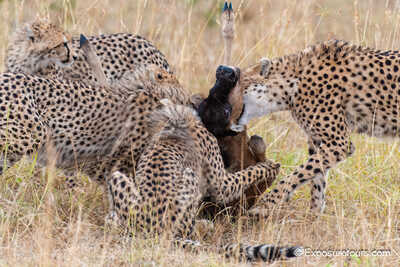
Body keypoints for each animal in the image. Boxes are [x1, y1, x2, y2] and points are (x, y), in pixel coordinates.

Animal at [106, 101, 300, 262]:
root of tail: (151, 229)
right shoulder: (220, 183)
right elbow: (244, 175)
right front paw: (269, 166)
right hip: (189, 179)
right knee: (188, 230)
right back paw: (203, 225)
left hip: (117, 177)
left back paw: (113, 219)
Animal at [227, 39, 400, 215]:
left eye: (236, 85)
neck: (291, 84)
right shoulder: (319, 142)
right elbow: (316, 179)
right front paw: (314, 215)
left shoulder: (340, 143)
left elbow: (299, 173)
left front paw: (266, 204)